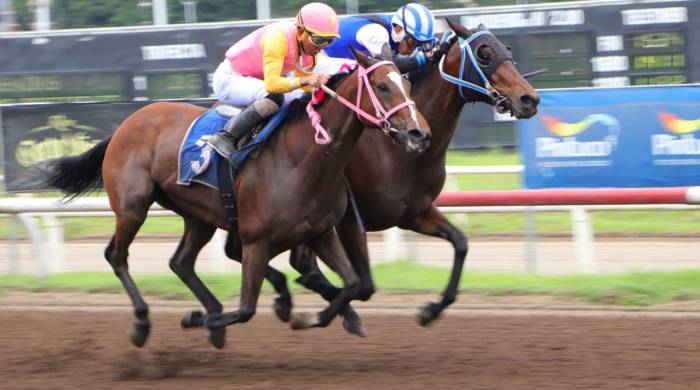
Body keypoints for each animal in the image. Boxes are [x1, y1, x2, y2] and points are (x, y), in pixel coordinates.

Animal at [43, 48, 430, 348]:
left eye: (409, 84)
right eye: (382, 86)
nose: (419, 133)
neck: (304, 159)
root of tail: (126, 124)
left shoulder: (319, 232)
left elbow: (352, 285)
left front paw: (311, 317)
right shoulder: (256, 240)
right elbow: (245, 309)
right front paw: (198, 319)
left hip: (197, 215)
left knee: (180, 262)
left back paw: (211, 310)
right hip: (132, 206)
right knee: (116, 255)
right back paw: (143, 322)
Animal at [232, 19, 540, 334]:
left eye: (508, 50)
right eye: (484, 54)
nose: (530, 98)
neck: (402, 153)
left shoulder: (414, 213)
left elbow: (461, 243)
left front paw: (429, 311)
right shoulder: (346, 218)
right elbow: (361, 284)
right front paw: (318, 312)